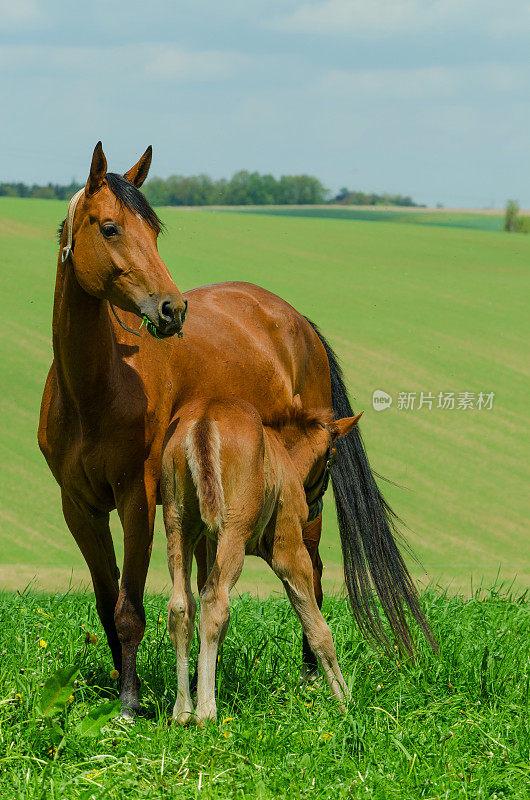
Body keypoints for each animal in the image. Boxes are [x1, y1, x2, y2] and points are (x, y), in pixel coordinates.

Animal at [161, 396, 358, 720]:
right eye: (333, 457)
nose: (315, 508)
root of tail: (204, 416)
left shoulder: (209, 542)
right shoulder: (288, 548)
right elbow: (317, 628)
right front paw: (345, 701)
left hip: (178, 526)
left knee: (181, 605)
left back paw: (183, 710)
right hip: (234, 531)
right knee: (214, 600)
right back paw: (205, 712)